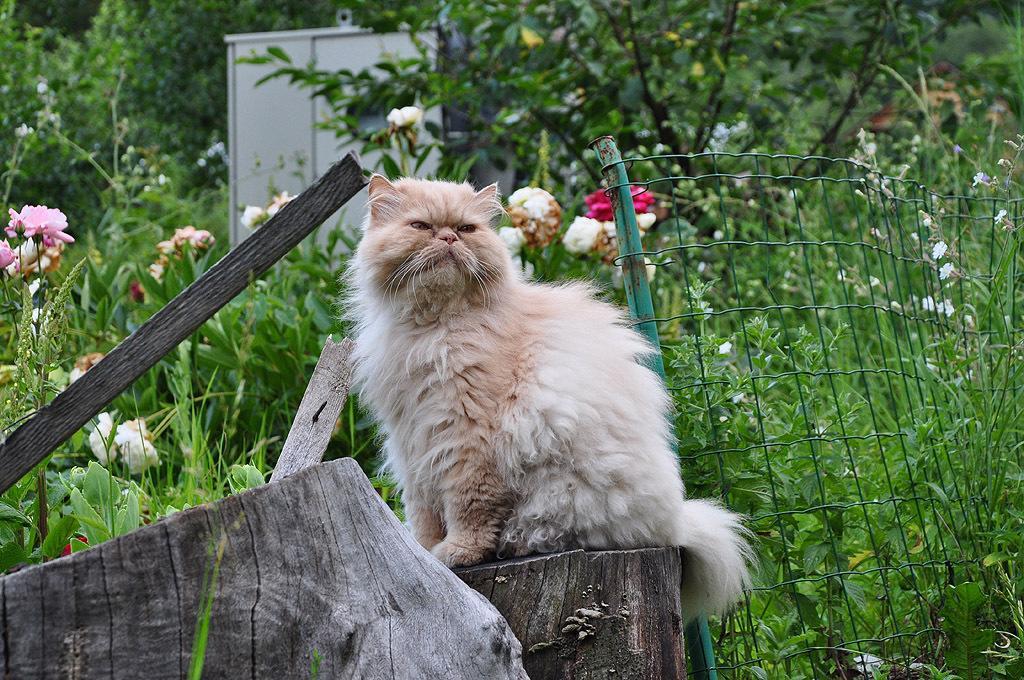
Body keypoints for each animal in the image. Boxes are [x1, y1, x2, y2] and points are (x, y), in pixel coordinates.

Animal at [346, 176, 753, 622]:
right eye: (421, 227)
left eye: (467, 229)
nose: (449, 238)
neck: (432, 328)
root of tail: (675, 523)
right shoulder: (413, 437)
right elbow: (423, 511)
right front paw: (421, 552)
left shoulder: (466, 435)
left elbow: (468, 506)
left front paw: (456, 552)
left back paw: (515, 543)